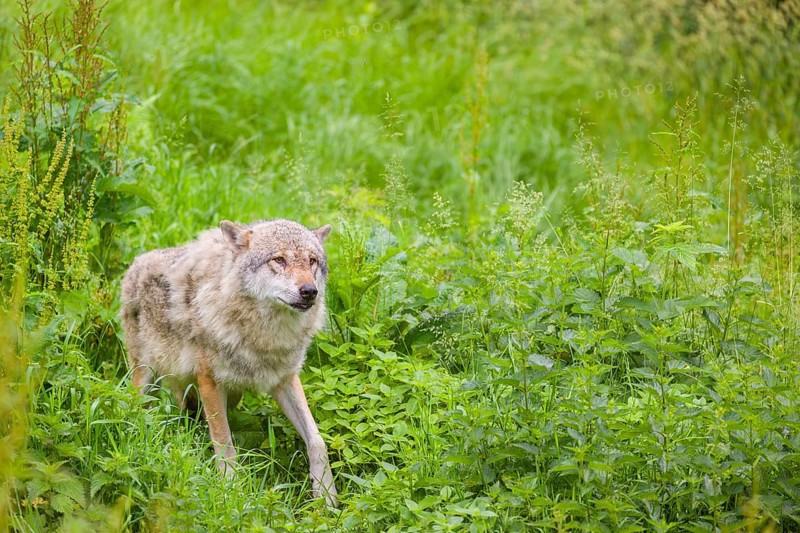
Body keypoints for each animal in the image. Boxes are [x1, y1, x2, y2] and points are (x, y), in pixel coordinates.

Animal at [120, 219, 337, 506]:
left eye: (312, 261)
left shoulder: (285, 380)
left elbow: (317, 441)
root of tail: (136, 262)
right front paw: (231, 491)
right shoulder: (210, 382)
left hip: (226, 392)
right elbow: (225, 443)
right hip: (145, 377)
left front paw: (326, 496)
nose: (310, 291)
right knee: (137, 411)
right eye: (279, 260)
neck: (265, 335)